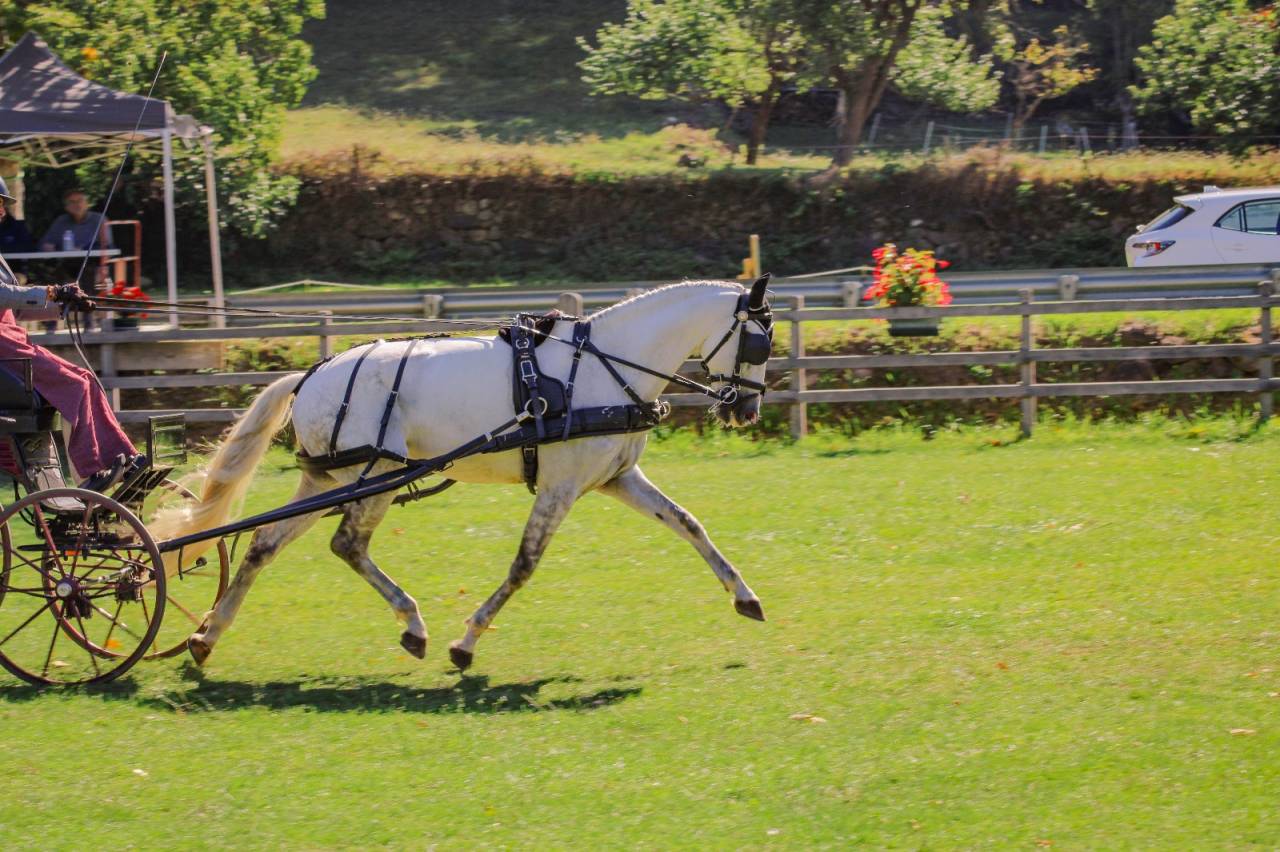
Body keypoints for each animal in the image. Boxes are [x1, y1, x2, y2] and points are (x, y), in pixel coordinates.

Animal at [151, 277, 774, 671]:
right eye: (758, 341)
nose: (747, 410)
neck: (602, 368)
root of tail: (311, 374)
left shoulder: (616, 478)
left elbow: (688, 524)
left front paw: (744, 596)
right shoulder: (561, 486)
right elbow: (524, 565)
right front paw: (467, 641)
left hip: (330, 480)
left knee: (263, 545)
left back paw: (206, 637)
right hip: (376, 477)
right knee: (347, 544)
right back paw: (412, 624)